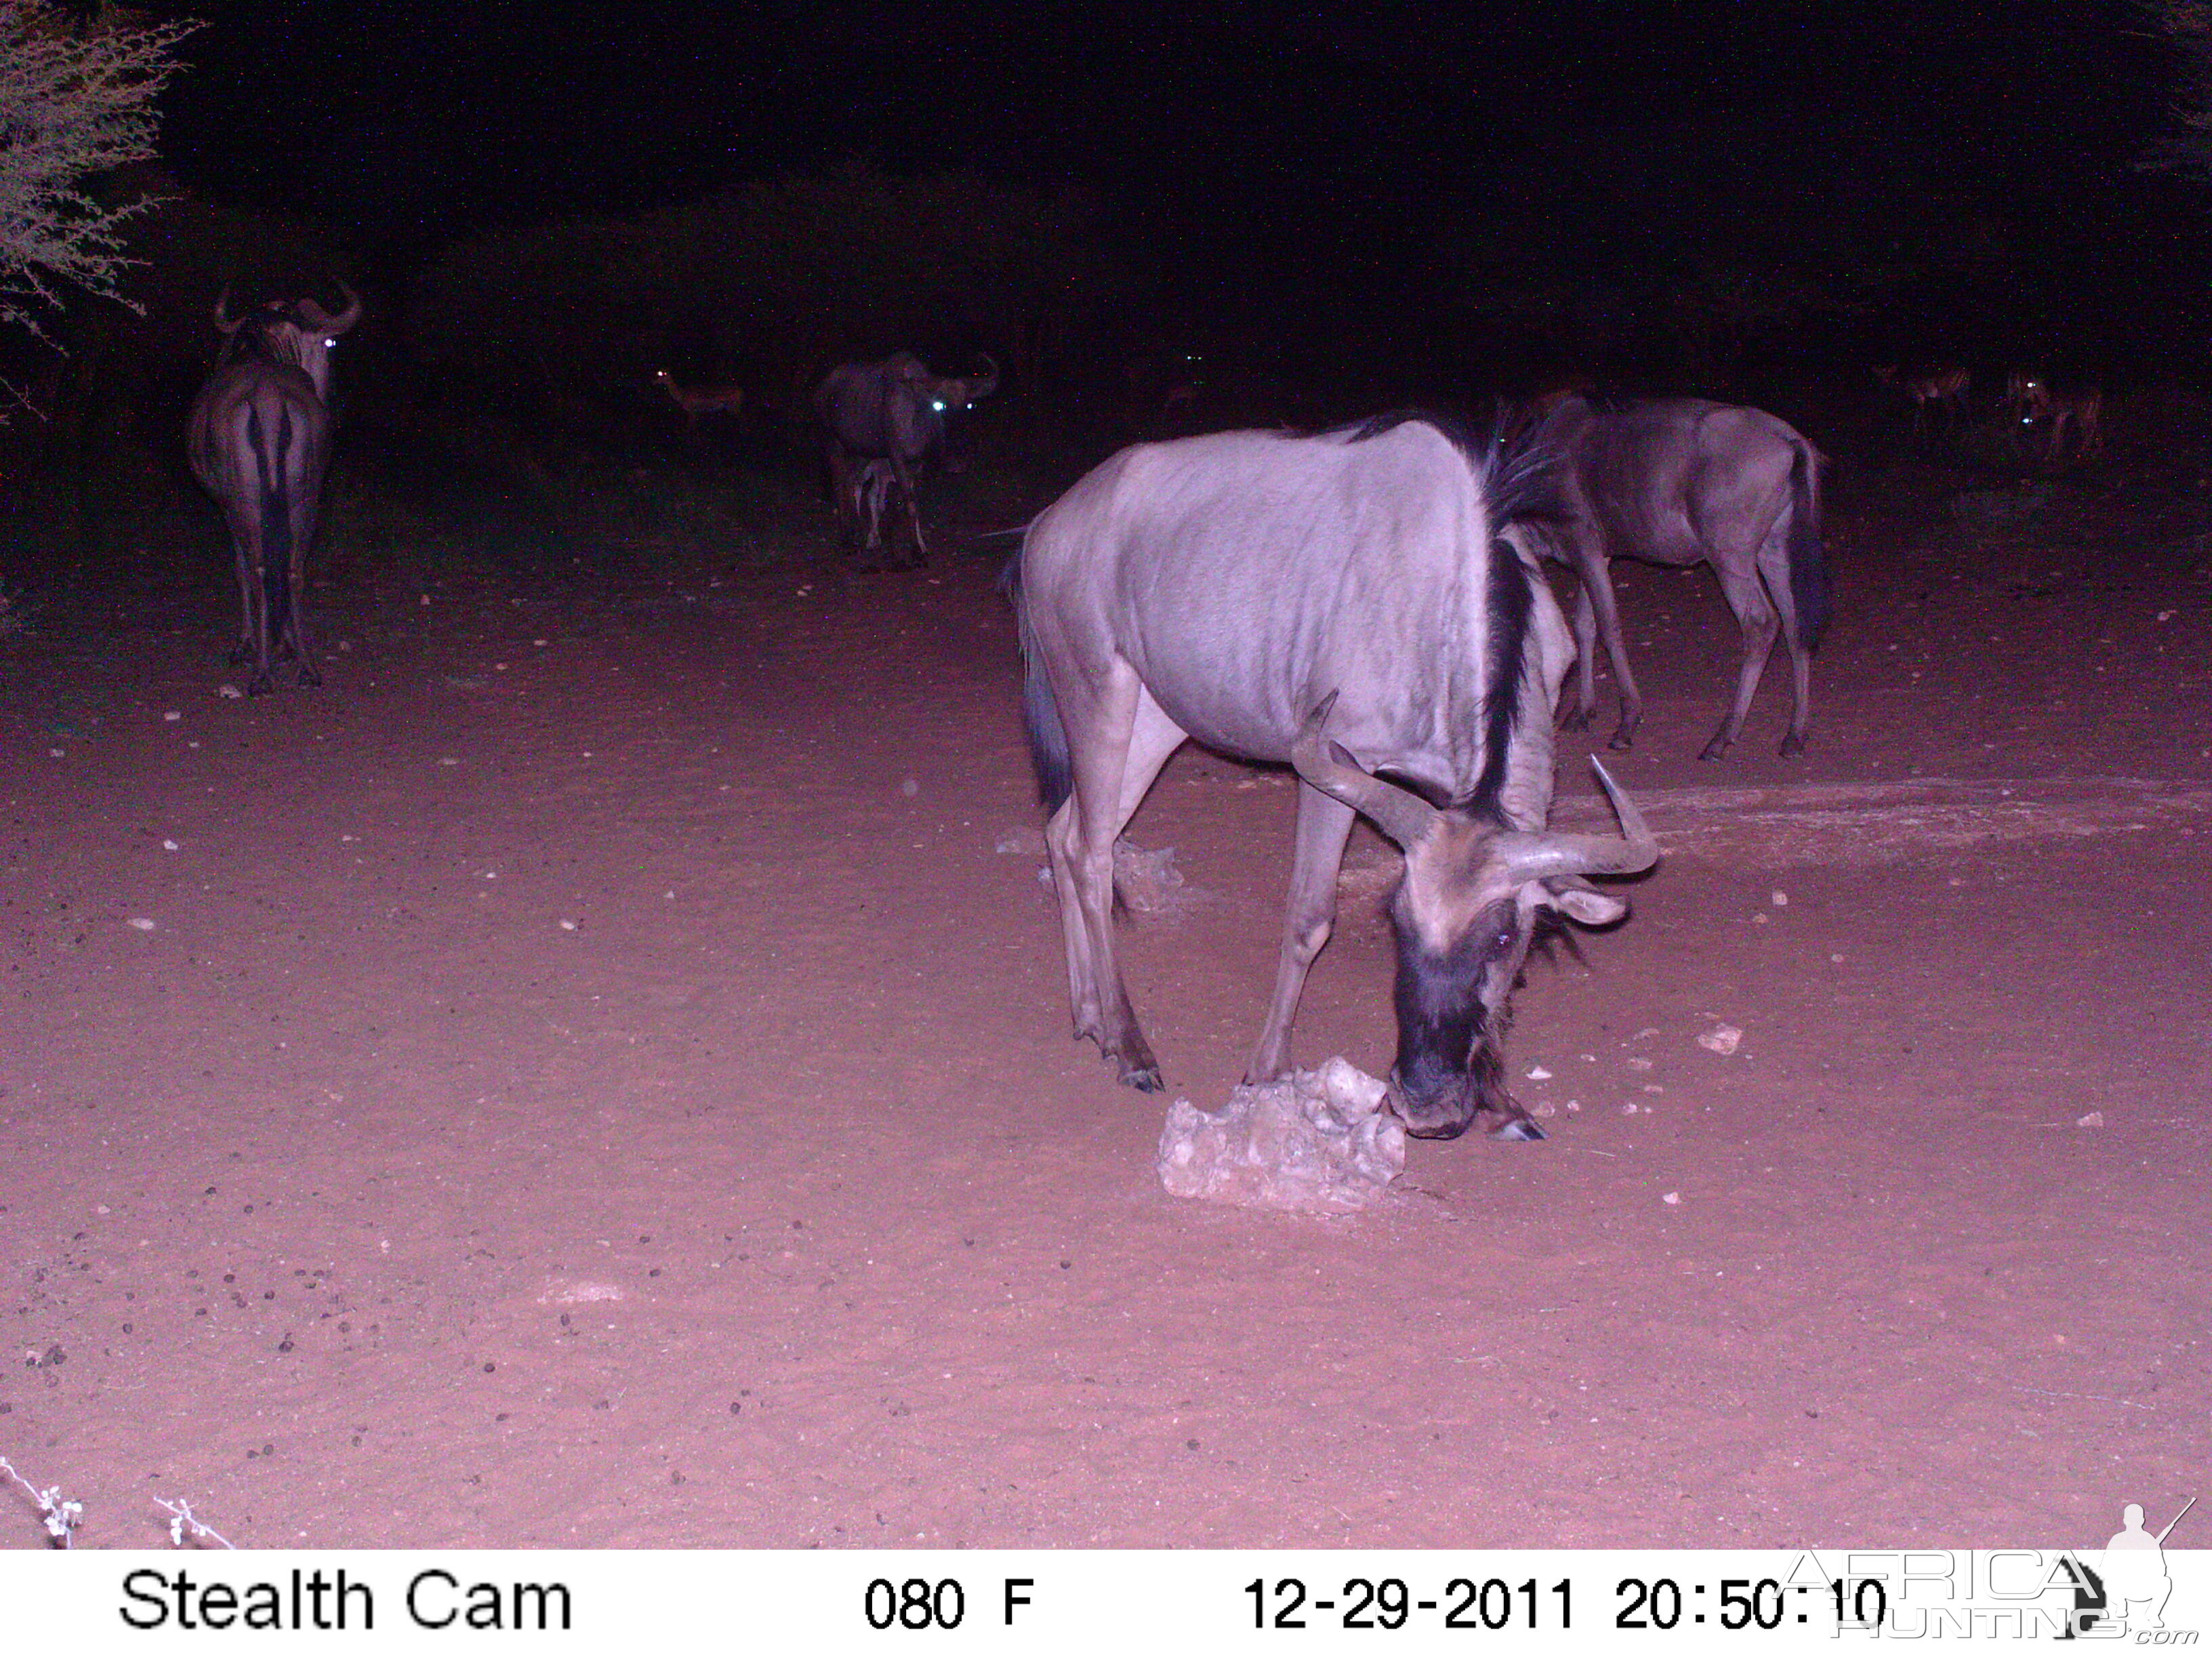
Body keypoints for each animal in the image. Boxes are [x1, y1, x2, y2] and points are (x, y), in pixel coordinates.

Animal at [188, 285, 361, 694]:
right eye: (329, 344)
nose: (332, 393)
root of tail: (266, 398)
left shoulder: (226, 505)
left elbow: (241, 568)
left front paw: (247, 643)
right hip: (305, 498)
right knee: (293, 568)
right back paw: (305, 664)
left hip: (246, 503)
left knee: (260, 568)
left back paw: (262, 670)